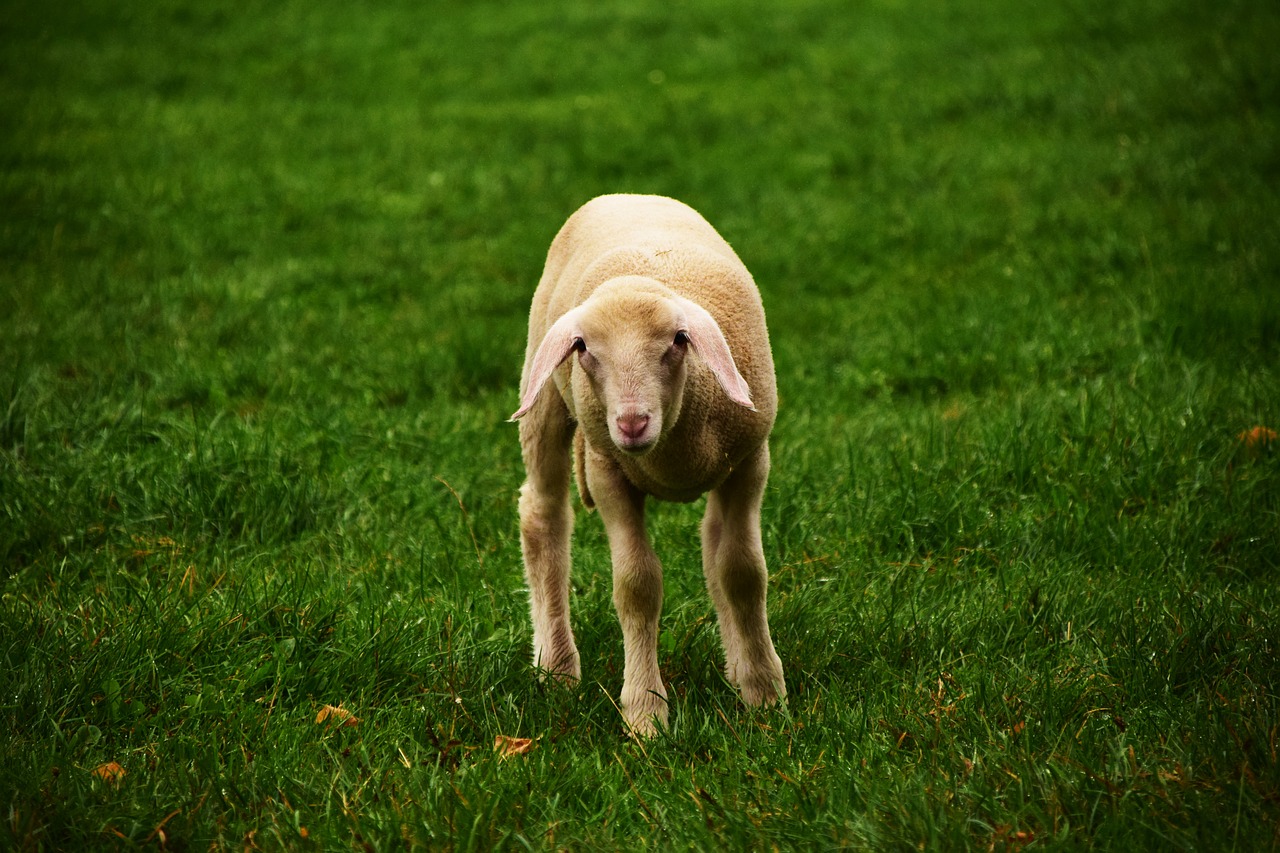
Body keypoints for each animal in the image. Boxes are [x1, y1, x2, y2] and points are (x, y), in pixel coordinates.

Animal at [514, 190, 783, 732]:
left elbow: (742, 573)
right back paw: (557, 667)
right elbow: (637, 586)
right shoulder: (607, 470)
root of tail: (624, 194)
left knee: (712, 540)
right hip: (544, 397)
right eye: (582, 347)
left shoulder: (749, 462)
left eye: (678, 340)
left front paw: (764, 693)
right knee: (542, 516)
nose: (632, 423)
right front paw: (645, 712)